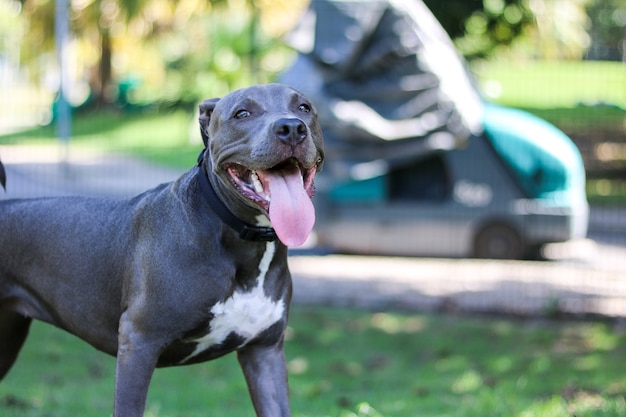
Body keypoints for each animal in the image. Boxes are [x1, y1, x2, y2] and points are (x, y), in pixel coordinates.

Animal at [0, 83, 322, 414]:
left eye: (304, 108)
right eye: (242, 113)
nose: (291, 128)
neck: (243, 240)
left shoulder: (264, 352)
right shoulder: (139, 342)